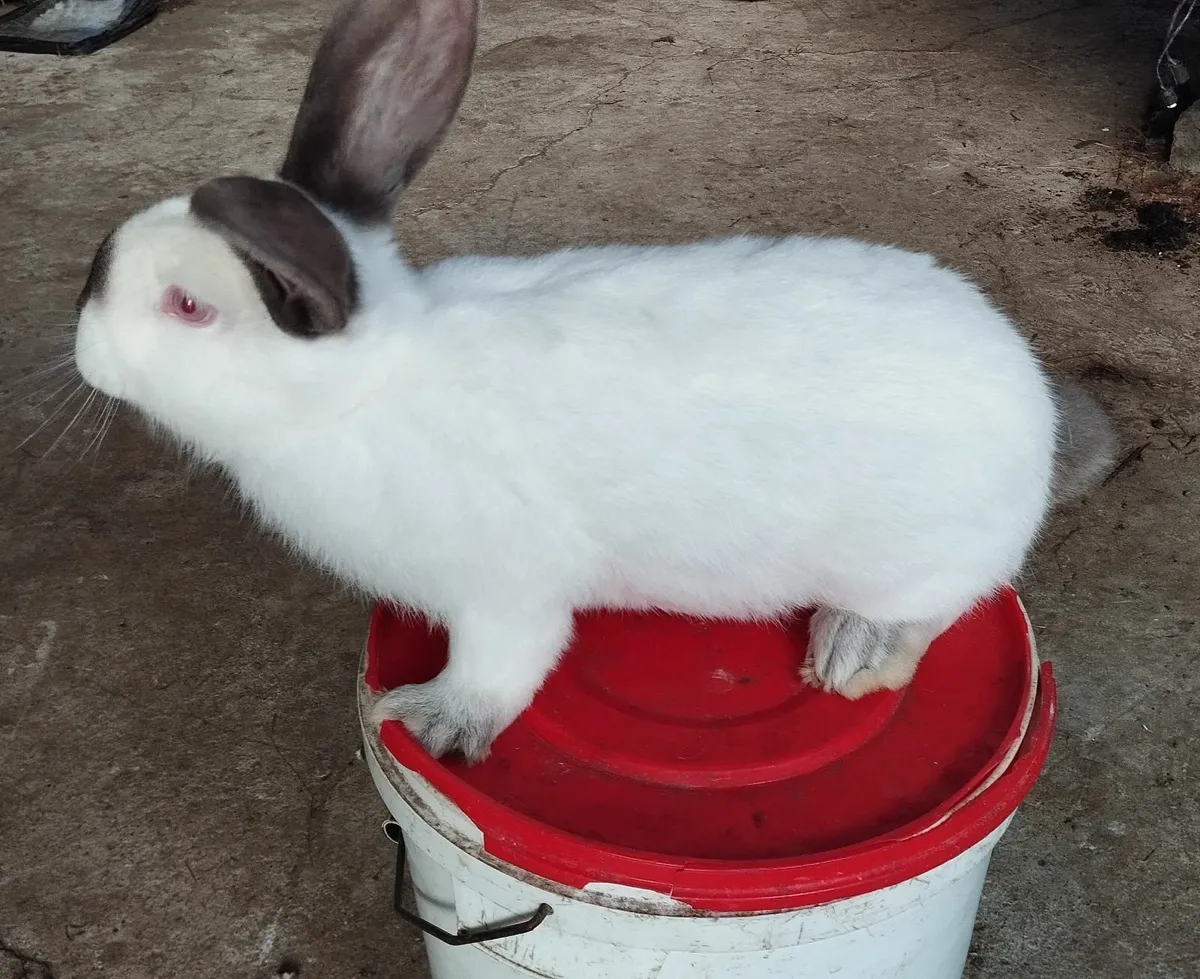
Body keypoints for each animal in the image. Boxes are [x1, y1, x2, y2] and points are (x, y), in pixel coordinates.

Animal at [73, 0, 1116, 763]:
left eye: (188, 307)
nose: (85, 351)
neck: (367, 389)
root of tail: (1036, 401)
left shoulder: (505, 591)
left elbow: (501, 667)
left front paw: (421, 720)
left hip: (923, 555)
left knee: (940, 604)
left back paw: (852, 650)